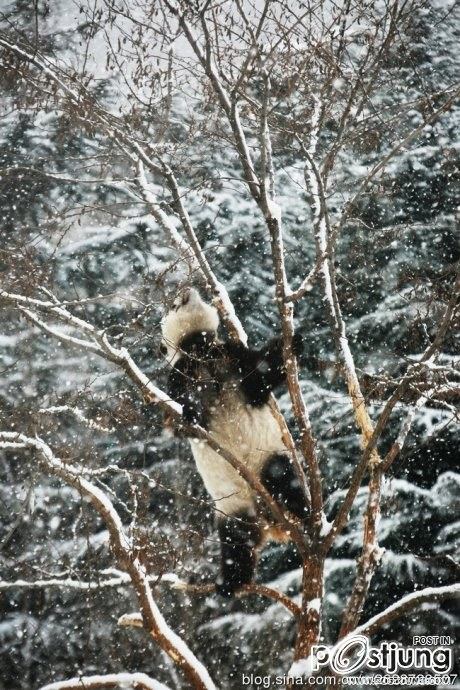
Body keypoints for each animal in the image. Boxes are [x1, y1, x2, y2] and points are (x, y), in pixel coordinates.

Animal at [161, 287, 308, 596]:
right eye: (172, 305)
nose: (185, 290)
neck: (201, 350)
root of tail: (267, 518)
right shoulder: (182, 371)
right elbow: (179, 416)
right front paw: (190, 414)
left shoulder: (229, 355)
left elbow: (258, 377)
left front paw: (293, 340)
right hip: (231, 507)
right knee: (236, 540)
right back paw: (230, 582)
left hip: (267, 458)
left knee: (281, 477)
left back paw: (303, 514)